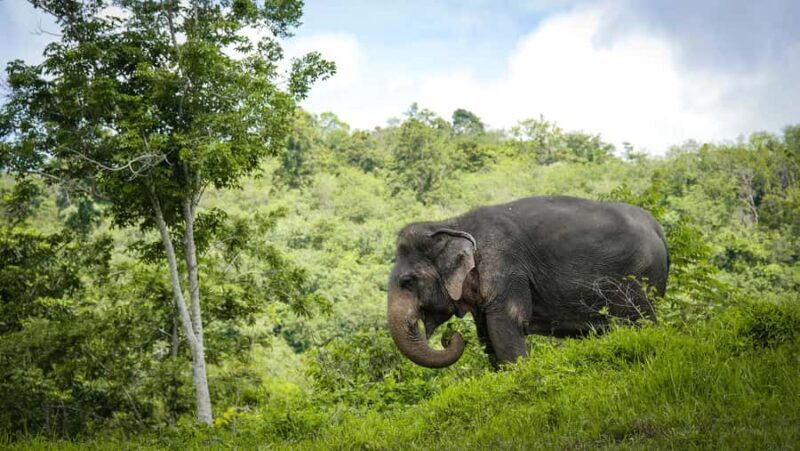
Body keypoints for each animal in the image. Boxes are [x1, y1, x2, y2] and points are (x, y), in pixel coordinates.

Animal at [387, 195, 669, 369]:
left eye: (408, 281)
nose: (449, 337)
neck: (452, 223)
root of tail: (658, 229)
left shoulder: (506, 268)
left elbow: (505, 327)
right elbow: (486, 335)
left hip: (638, 277)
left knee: (640, 320)